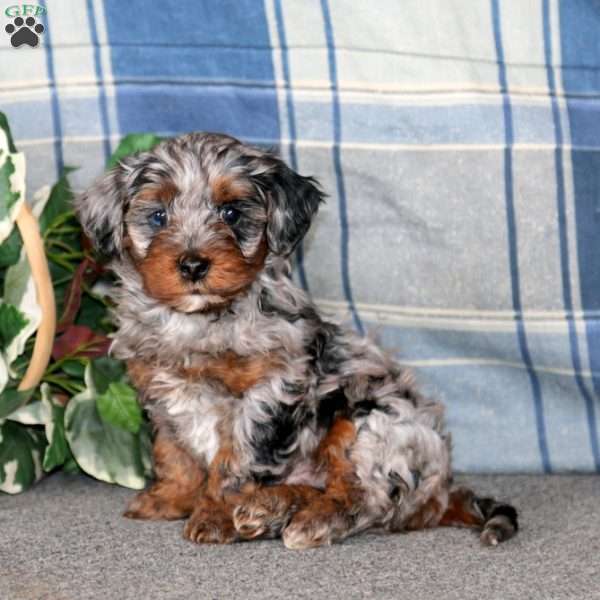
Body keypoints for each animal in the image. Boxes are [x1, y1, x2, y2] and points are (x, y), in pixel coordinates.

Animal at [75, 134, 516, 552]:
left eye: (231, 213)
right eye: (158, 216)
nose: (193, 265)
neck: (200, 321)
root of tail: (441, 488)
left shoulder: (269, 391)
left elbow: (236, 462)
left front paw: (215, 515)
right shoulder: (159, 393)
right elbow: (172, 453)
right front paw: (170, 498)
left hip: (370, 423)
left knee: (367, 499)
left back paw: (306, 520)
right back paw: (268, 509)